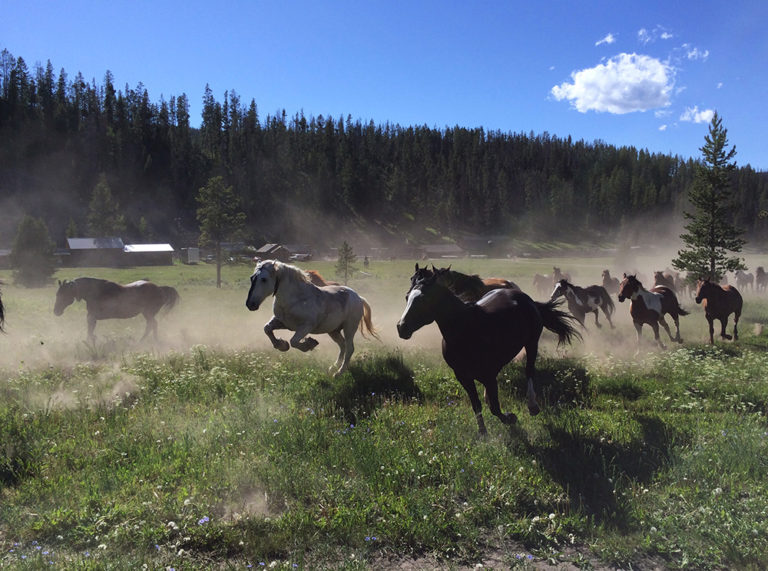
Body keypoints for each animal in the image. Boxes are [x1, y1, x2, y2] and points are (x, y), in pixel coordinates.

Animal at [246, 258, 378, 376]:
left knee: (350, 348)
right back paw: (334, 367)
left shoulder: (306, 327)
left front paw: (309, 344)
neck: (296, 299)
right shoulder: (282, 322)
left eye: (264, 279)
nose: (250, 304)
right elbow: (267, 328)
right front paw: (282, 345)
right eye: (252, 278)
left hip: (349, 327)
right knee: (342, 345)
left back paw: (339, 373)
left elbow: (294, 341)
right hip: (333, 331)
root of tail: (359, 297)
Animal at [400, 268, 580, 434]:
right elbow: (476, 405)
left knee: (529, 371)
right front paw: (483, 433)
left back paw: (532, 405)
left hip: (531, 343)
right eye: (407, 297)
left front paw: (510, 418)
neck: (466, 329)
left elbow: (495, 407)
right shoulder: (463, 376)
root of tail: (523, 296)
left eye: (423, 299)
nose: (401, 327)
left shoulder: (488, 374)